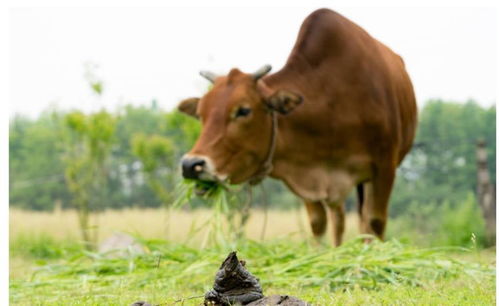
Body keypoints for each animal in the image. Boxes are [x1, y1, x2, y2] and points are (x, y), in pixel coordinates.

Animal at [177, 7, 418, 246]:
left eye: (243, 110)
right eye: (201, 114)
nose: (191, 165)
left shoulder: (384, 167)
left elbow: (374, 223)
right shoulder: (307, 173)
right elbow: (318, 223)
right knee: (338, 218)